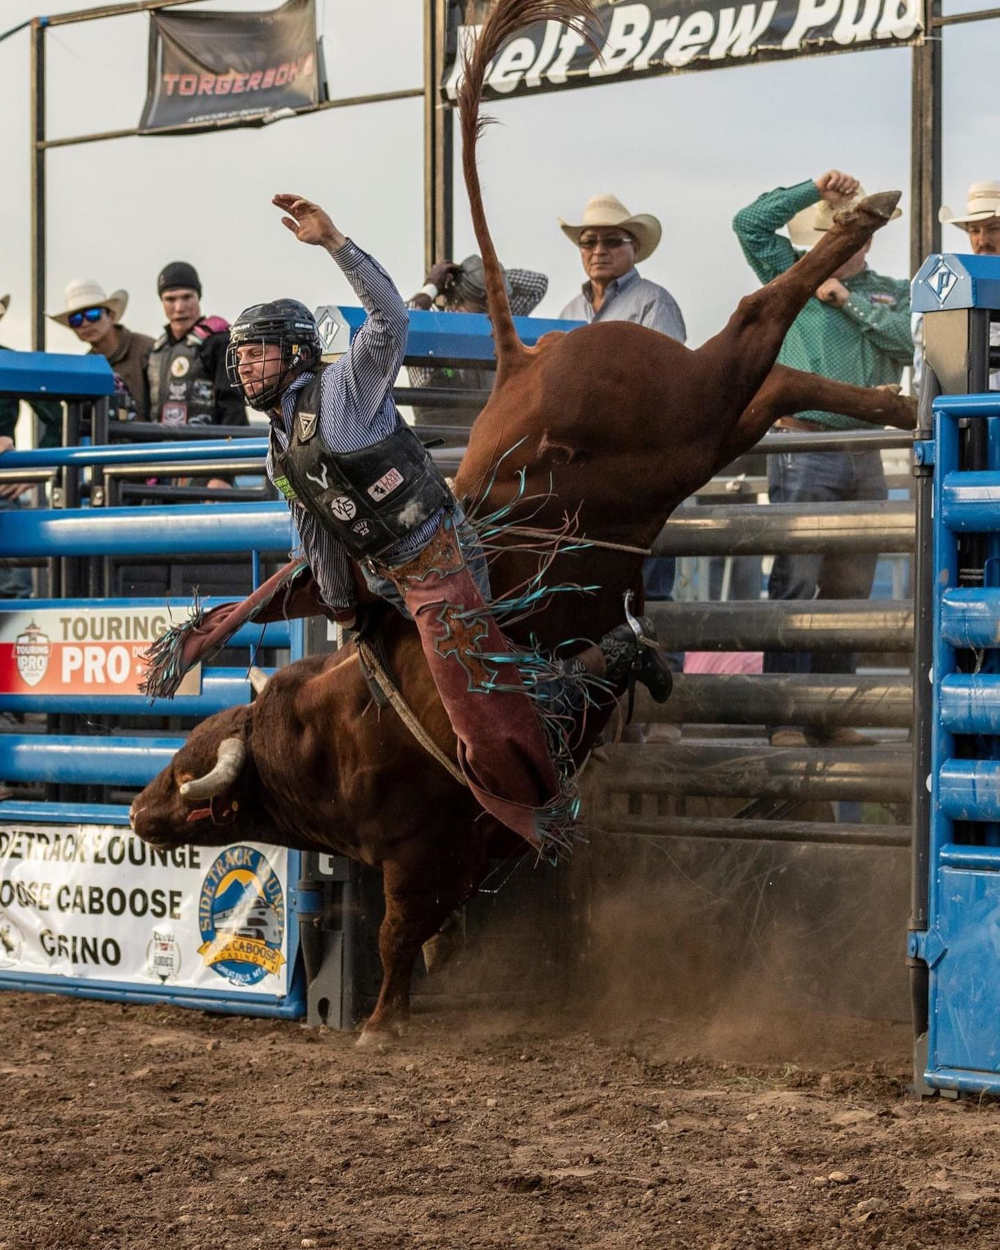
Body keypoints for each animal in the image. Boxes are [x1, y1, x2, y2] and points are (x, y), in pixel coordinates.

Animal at [128, 0, 920, 1045]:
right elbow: (446, 920)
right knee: (778, 372)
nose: (136, 814)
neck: (322, 735)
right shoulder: (475, 839)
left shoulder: (419, 847)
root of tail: (518, 359)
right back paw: (897, 401)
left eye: (185, 773)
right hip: (707, 428)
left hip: (683, 414)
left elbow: (399, 932)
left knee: (760, 310)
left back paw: (865, 218)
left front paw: (381, 1020)